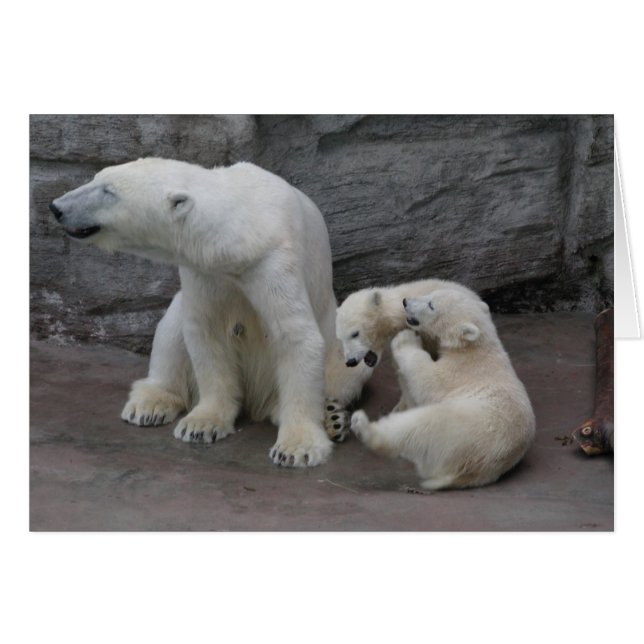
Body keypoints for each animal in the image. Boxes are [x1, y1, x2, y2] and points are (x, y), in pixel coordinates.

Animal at [49, 158, 372, 467]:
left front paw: (296, 449)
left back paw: (332, 417)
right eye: (95, 177)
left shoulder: (273, 259)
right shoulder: (202, 269)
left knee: (351, 365)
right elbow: (205, 332)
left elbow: (295, 335)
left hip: (341, 348)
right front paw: (201, 425)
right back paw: (149, 404)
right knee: (170, 329)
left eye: (109, 191)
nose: (56, 207)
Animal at [349, 288, 535, 490]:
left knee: (418, 425)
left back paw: (362, 425)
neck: (475, 347)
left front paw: (405, 339)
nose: (405, 302)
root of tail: (471, 470)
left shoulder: (460, 372)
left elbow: (428, 381)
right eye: (430, 293)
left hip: (456, 429)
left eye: (432, 305)